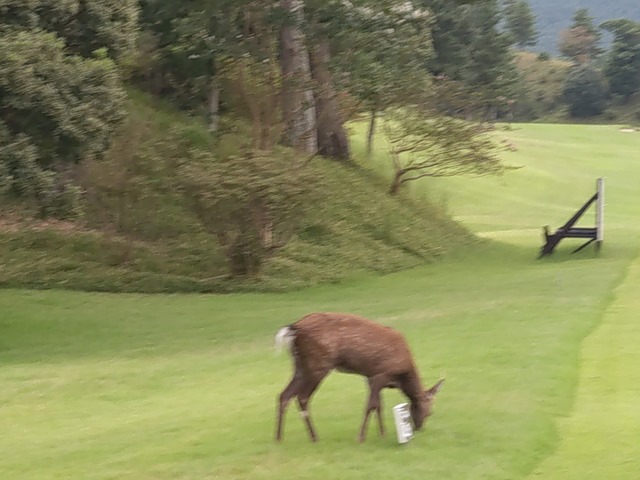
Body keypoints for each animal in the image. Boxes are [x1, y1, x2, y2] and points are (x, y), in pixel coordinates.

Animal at [276, 312, 444, 442]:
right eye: (427, 410)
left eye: (430, 413)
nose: (419, 428)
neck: (401, 377)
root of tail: (294, 328)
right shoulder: (380, 374)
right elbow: (371, 405)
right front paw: (361, 437)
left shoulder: (370, 377)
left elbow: (379, 405)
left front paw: (382, 433)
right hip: (318, 365)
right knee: (302, 397)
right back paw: (314, 437)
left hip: (300, 365)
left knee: (284, 395)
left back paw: (278, 438)